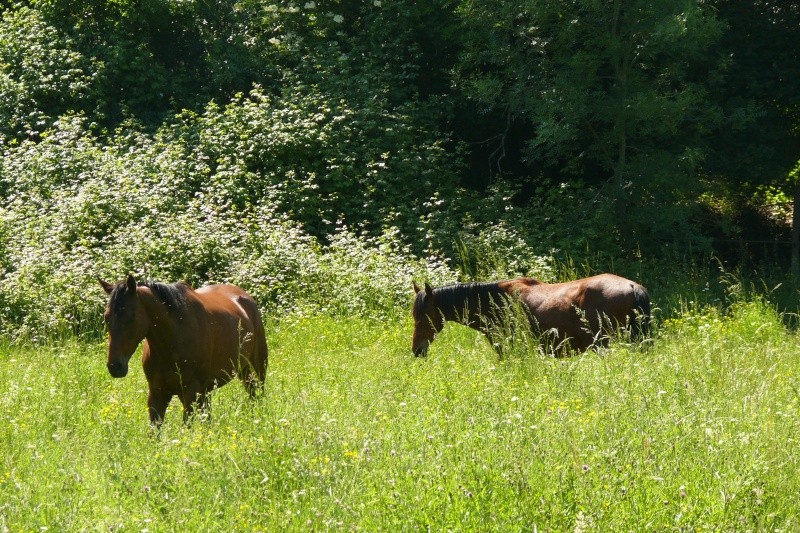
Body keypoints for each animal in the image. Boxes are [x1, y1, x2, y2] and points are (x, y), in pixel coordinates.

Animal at [99, 274, 268, 424]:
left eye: (131, 318)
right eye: (106, 317)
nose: (115, 366)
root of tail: (244, 297)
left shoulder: (191, 393)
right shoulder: (157, 394)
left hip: (257, 368)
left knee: (257, 393)